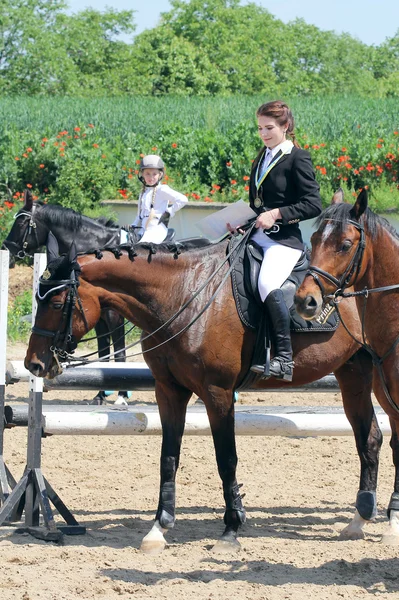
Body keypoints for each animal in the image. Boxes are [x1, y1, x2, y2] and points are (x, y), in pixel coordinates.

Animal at [2, 190, 130, 406]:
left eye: (21, 223)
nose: (7, 250)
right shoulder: (97, 316)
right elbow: (104, 354)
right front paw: (100, 395)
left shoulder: (114, 316)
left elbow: (119, 353)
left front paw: (121, 396)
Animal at [25, 232, 382, 552]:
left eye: (56, 303)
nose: (34, 364)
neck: (183, 294)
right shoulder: (169, 391)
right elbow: (168, 457)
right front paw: (159, 528)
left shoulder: (217, 392)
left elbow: (226, 458)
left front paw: (231, 528)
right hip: (354, 373)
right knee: (371, 438)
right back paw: (360, 520)